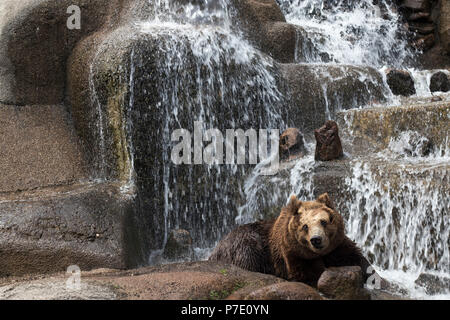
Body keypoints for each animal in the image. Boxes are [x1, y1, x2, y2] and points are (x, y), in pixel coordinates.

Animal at [209, 192, 370, 284]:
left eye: (323, 221)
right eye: (305, 226)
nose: (316, 239)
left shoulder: (338, 247)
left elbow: (356, 259)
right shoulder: (292, 255)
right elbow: (305, 275)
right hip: (246, 246)